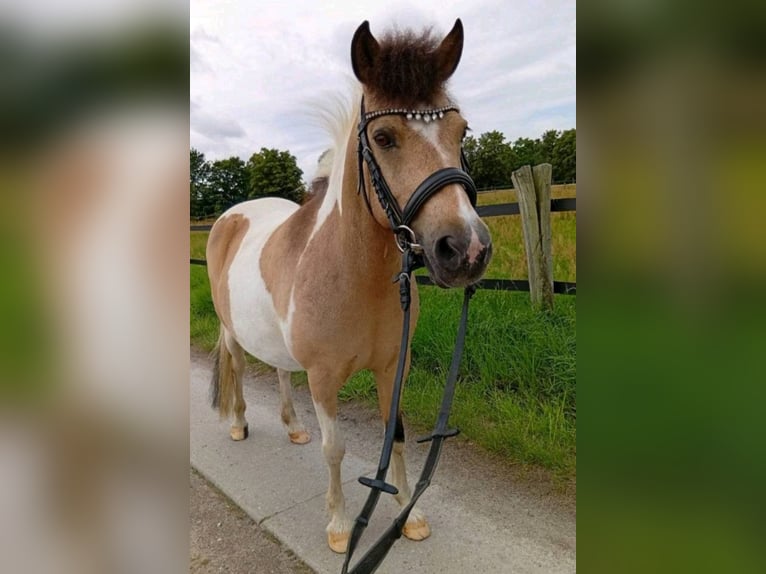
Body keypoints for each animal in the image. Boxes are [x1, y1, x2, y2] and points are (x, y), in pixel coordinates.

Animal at [205, 19, 492, 554]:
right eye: (383, 136)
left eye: (461, 131)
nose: (466, 250)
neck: (356, 277)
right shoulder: (323, 380)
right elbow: (334, 449)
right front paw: (340, 528)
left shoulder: (393, 367)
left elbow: (394, 433)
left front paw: (408, 517)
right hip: (231, 331)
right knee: (238, 366)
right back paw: (237, 424)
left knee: (280, 371)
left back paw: (293, 428)